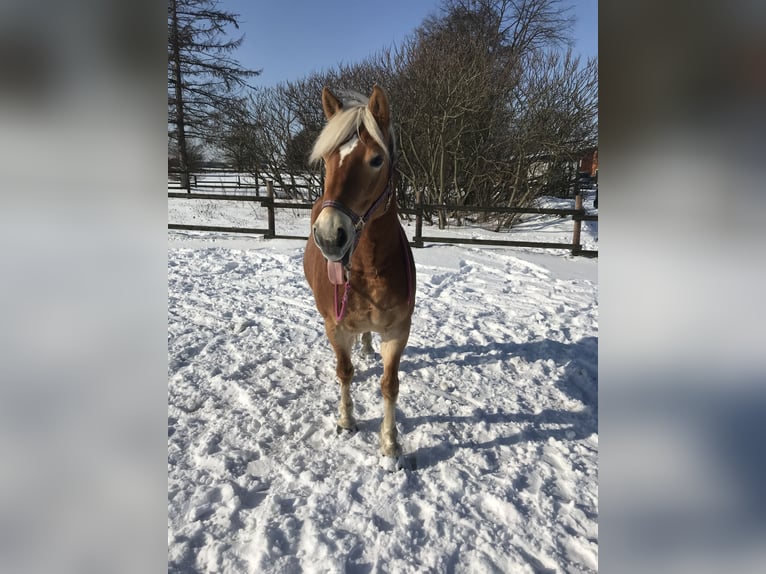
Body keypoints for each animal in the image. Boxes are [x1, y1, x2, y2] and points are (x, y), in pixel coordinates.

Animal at [304, 85, 416, 462]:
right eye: (326, 159)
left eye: (376, 160)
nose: (329, 236)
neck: (367, 268)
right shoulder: (336, 329)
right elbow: (345, 372)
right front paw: (346, 421)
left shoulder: (398, 331)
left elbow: (390, 386)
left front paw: (390, 445)